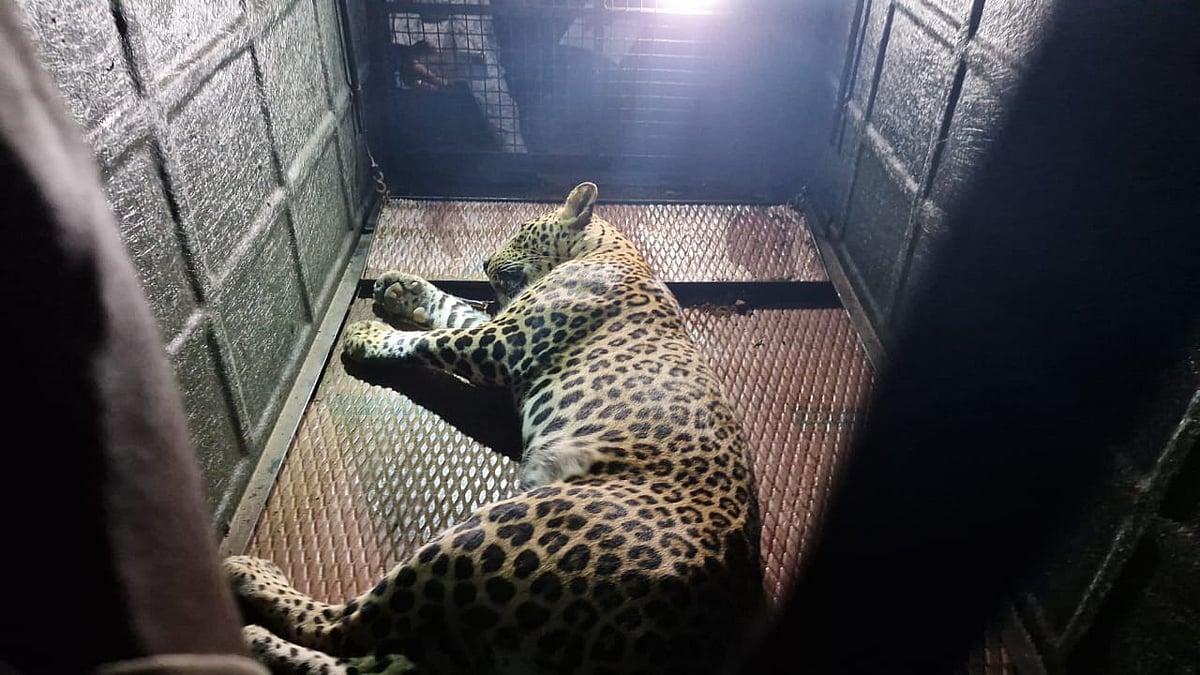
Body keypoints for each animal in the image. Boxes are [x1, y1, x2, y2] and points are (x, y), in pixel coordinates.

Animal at [223, 182, 765, 675]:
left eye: (522, 229)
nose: (484, 261)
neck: (612, 248)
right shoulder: (502, 328)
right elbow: (453, 310)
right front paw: (405, 288)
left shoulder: (506, 341)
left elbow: (433, 339)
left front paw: (372, 334)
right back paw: (259, 638)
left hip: (487, 535)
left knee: (345, 625)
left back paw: (251, 576)